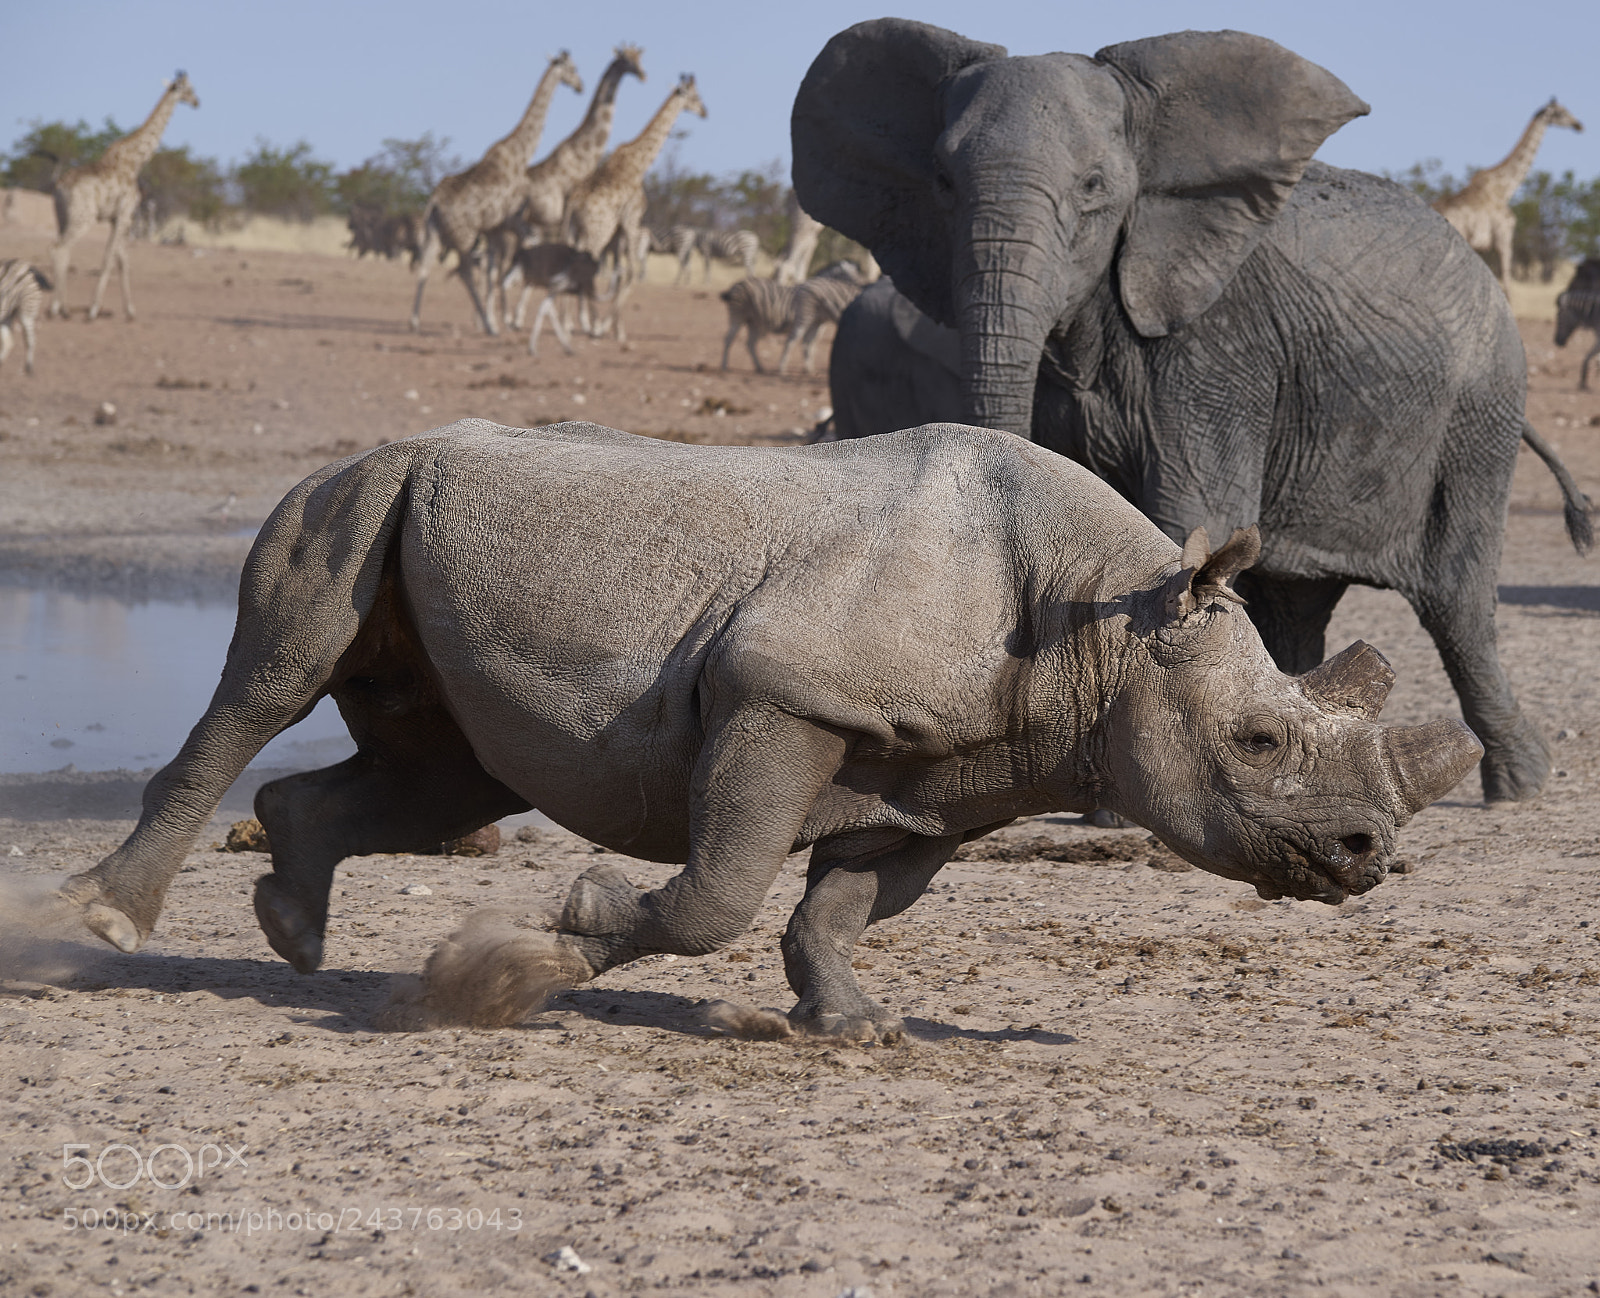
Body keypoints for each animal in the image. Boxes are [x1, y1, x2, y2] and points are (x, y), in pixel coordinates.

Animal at [59, 421, 1481, 1039]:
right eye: (1257, 744)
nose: (1366, 853)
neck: (1108, 619)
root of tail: (377, 444)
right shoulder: (781, 690)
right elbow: (720, 890)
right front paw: (539, 957)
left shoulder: (955, 773)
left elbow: (840, 902)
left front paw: (849, 1024)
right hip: (356, 491)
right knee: (274, 681)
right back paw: (111, 927)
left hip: (424, 526)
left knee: (450, 779)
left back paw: (293, 932)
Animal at [791, 19, 1593, 804]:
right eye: (943, 183)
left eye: (1094, 188)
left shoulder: (1219, 346)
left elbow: (1185, 511)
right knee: (1296, 600)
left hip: (1480, 407)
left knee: (1456, 599)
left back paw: (1519, 785)